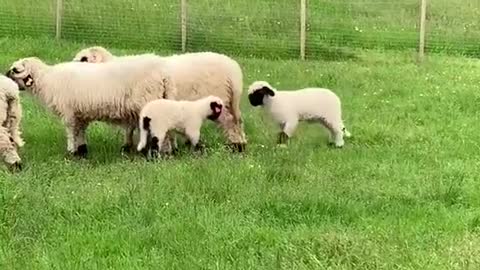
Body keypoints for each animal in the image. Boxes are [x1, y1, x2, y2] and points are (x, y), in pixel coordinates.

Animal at [4, 55, 177, 157]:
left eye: (15, 70)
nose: (4, 77)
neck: (47, 79)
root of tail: (164, 74)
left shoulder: (68, 112)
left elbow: (70, 131)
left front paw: (71, 151)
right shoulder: (80, 113)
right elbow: (80, 131)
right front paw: (82, 150)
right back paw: (166, 151)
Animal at [74, 45, 251, 153]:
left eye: (84, 59)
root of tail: (234, 71)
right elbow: (131, 128)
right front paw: (127, 146)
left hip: (221, 102)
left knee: (230, 122)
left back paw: (236, 146)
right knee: (238, 122)